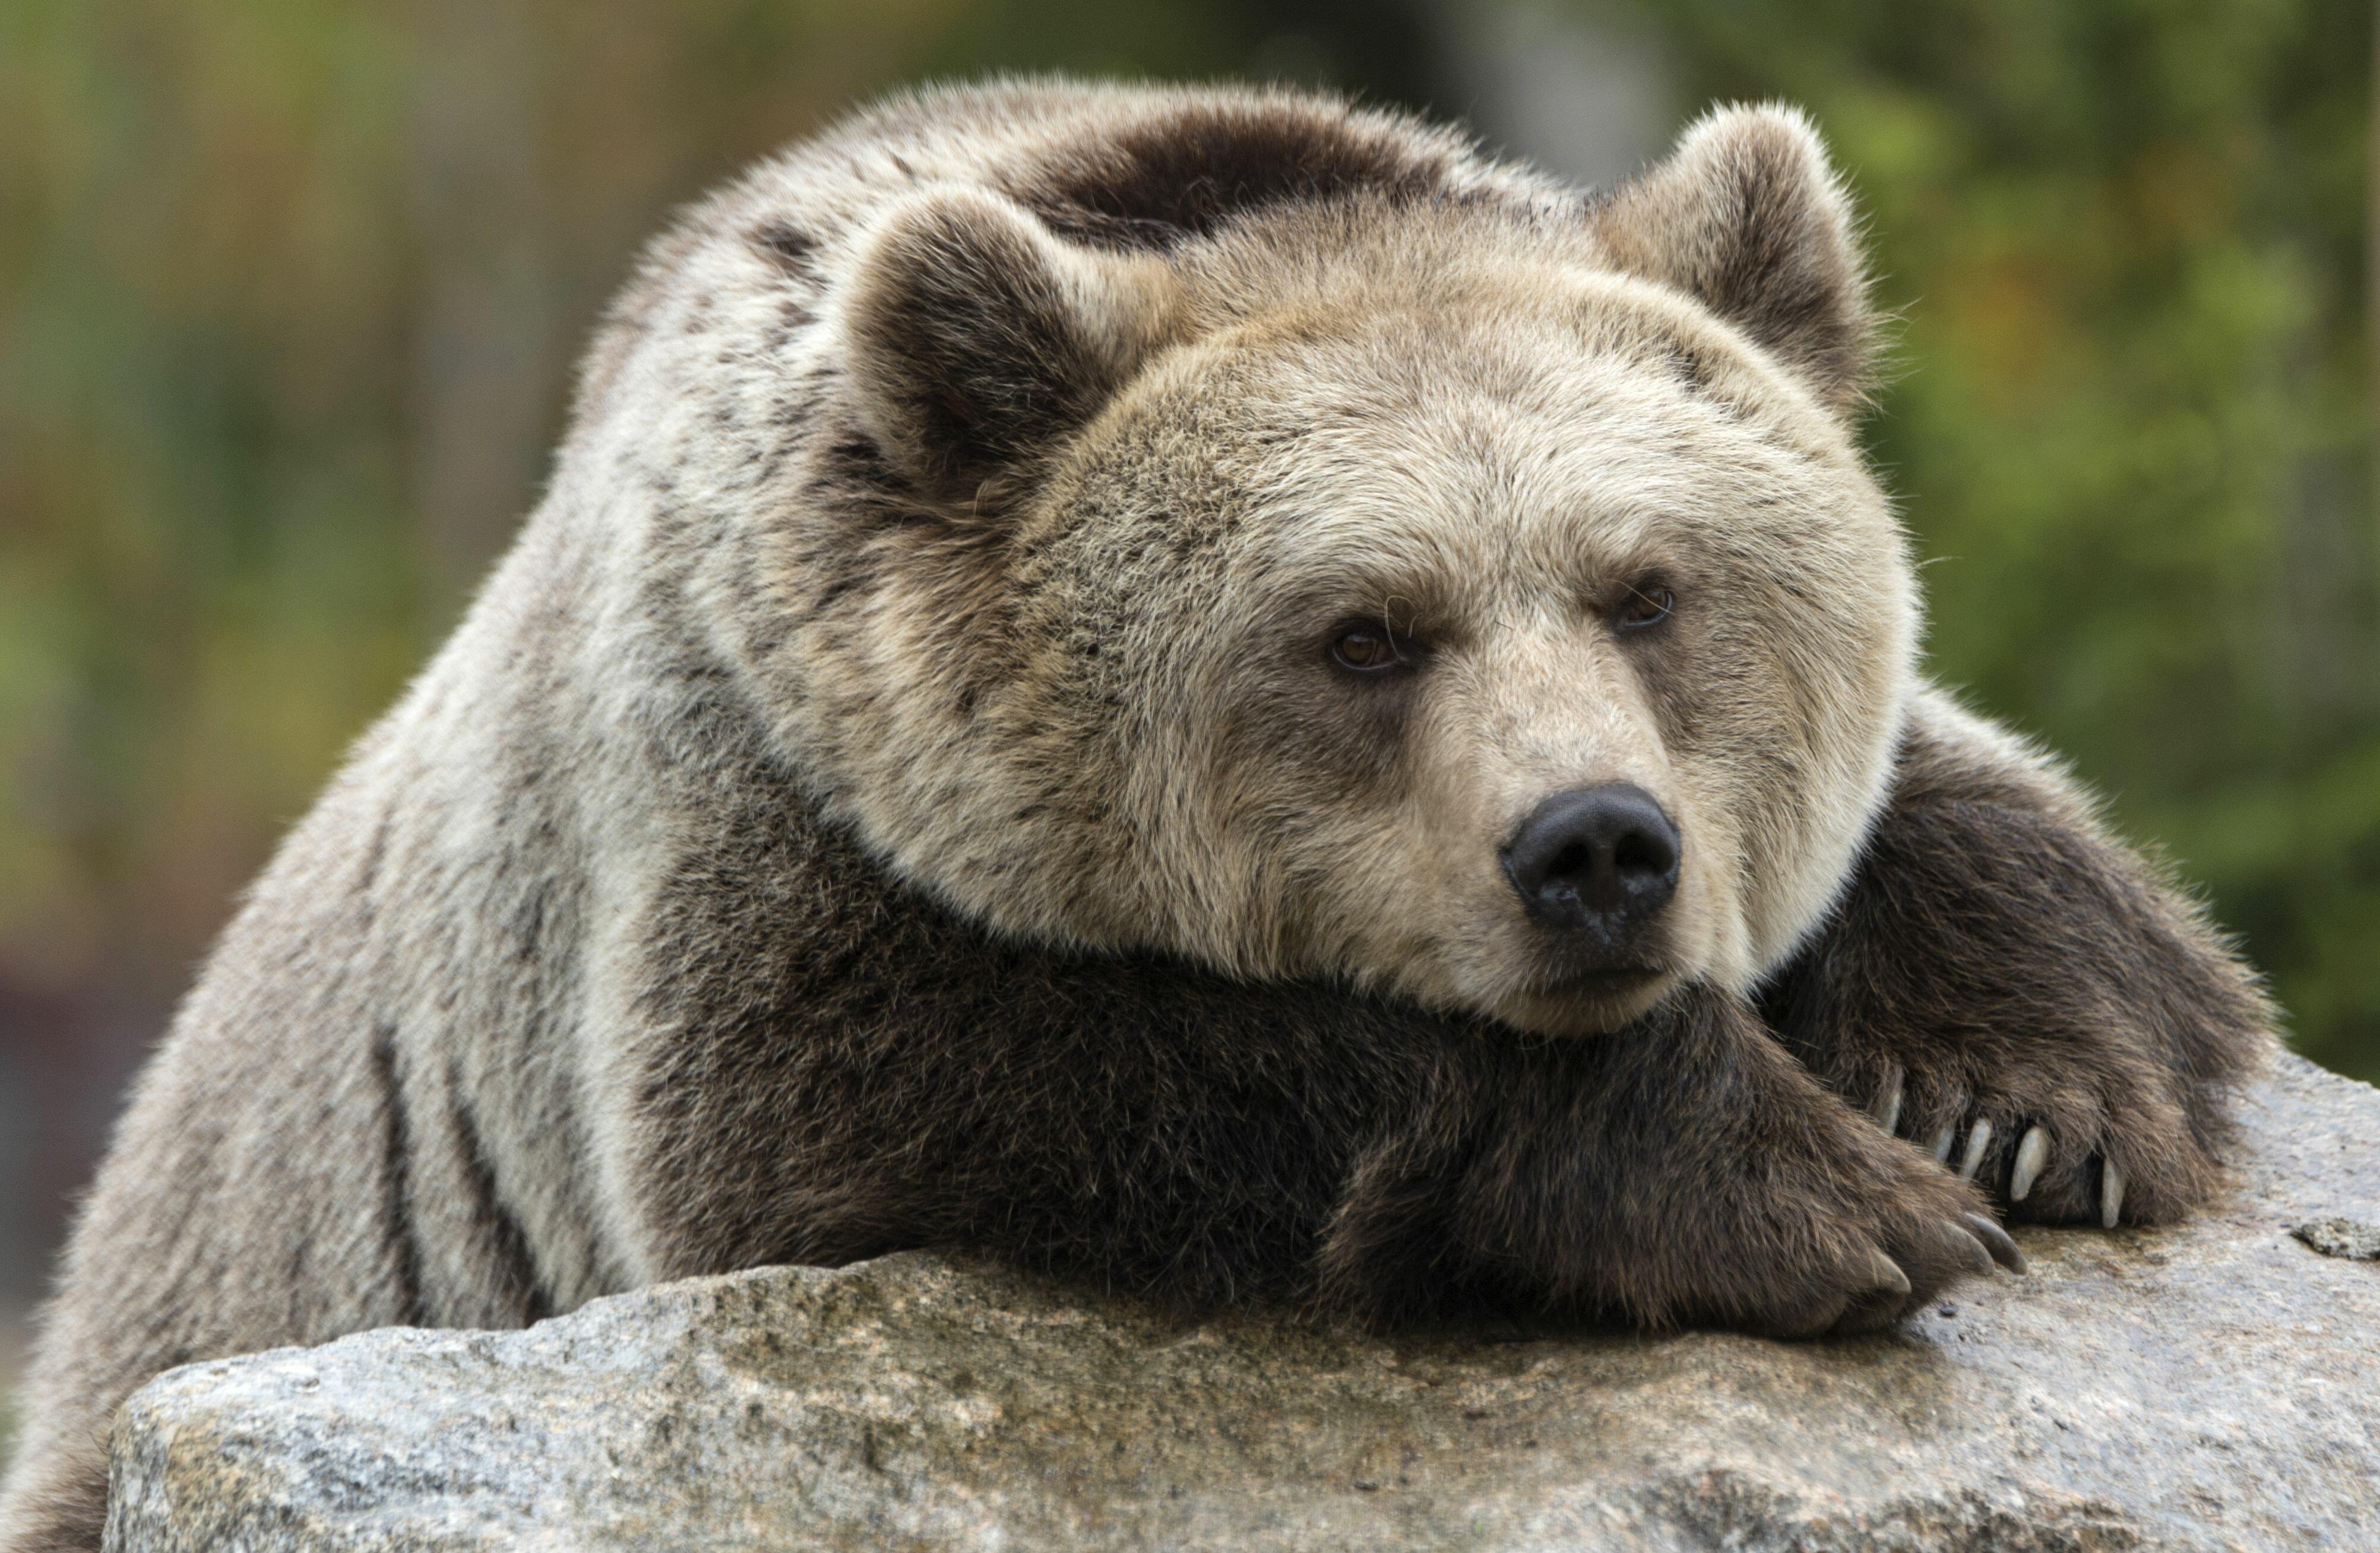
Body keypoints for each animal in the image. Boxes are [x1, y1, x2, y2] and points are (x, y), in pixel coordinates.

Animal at [0, 85, 2265, 1550]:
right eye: (1362, 633)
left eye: (1644, 586)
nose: (1594, 848)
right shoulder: (746, 799)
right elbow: (923, 1093)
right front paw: (1813, 1186)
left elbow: (2023, 841)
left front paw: (2014, 1102)